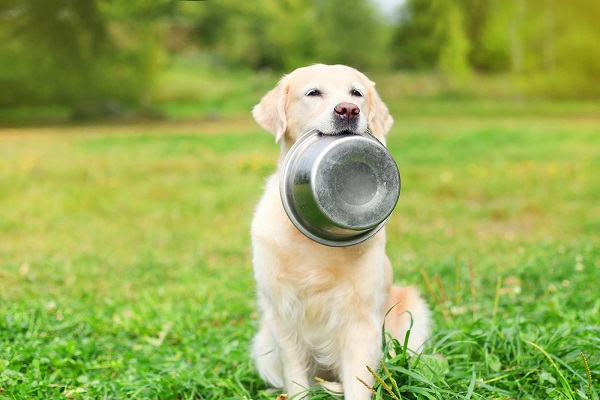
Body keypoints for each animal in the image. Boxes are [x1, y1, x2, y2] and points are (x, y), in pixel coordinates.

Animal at [251, 64, 428, 398]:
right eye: (313, 93)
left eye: (356, 93)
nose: (348, 110)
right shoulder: (284, 317)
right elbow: (296, 379)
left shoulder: (361, 321)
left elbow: (358, 383)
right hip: (264, 343)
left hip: (412, 311)